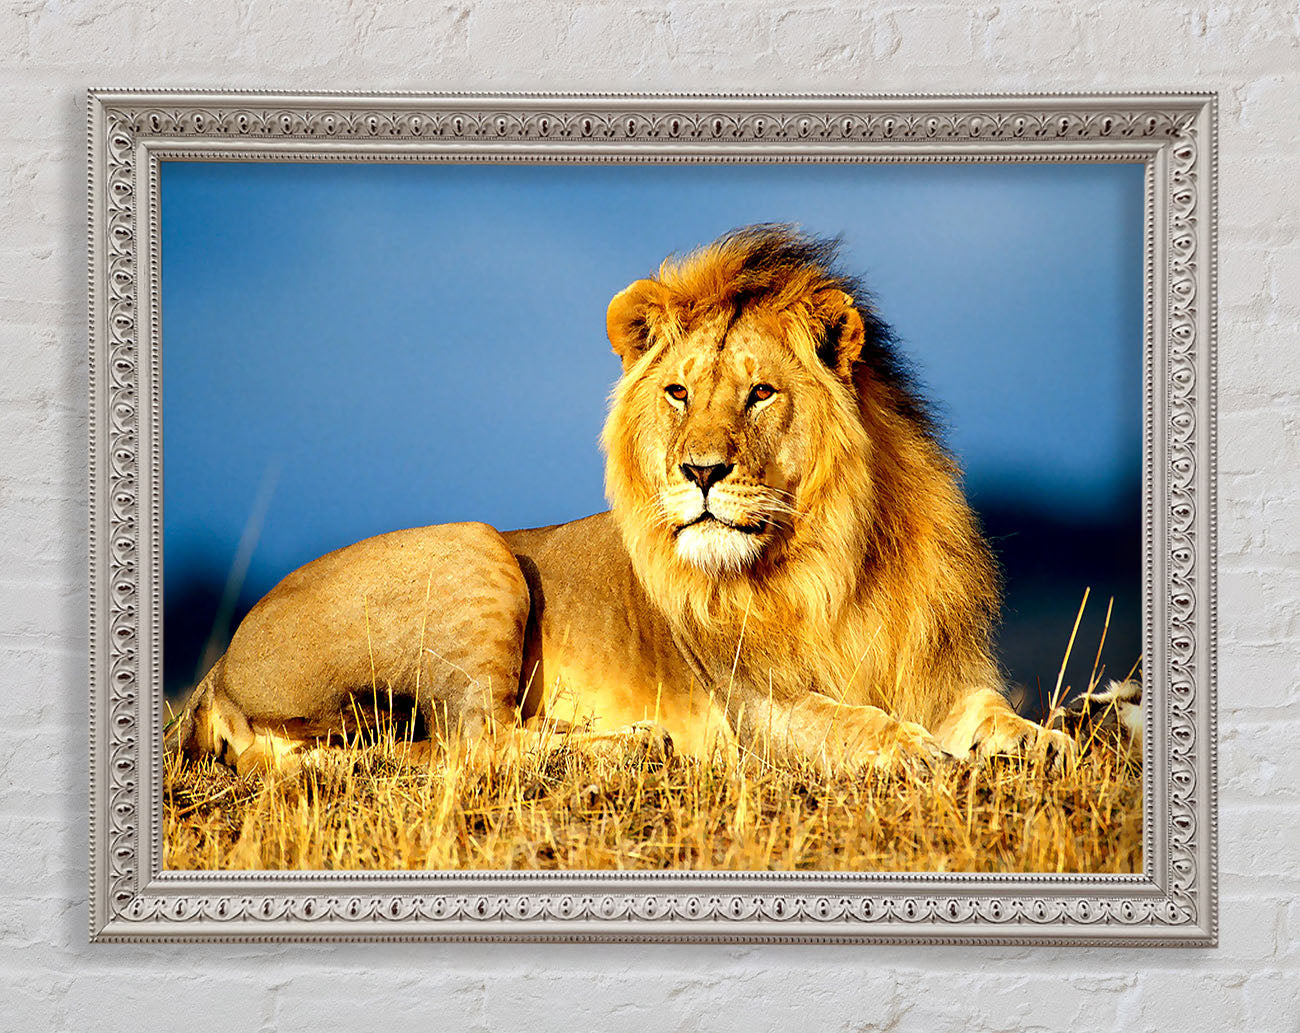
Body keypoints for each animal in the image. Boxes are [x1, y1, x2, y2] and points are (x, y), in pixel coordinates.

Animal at [166, 224, 1074, 777]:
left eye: (761, 393)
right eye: (678, 392)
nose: (700, 471)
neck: (835, 559)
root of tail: (217, 669)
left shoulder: (936, 669)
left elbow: (991, 707)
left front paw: (1045, 741)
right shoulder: (756, 708)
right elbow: (850, 723)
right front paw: (914, 752)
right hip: (474, 547)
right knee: (475, 744)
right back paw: (633, 744)